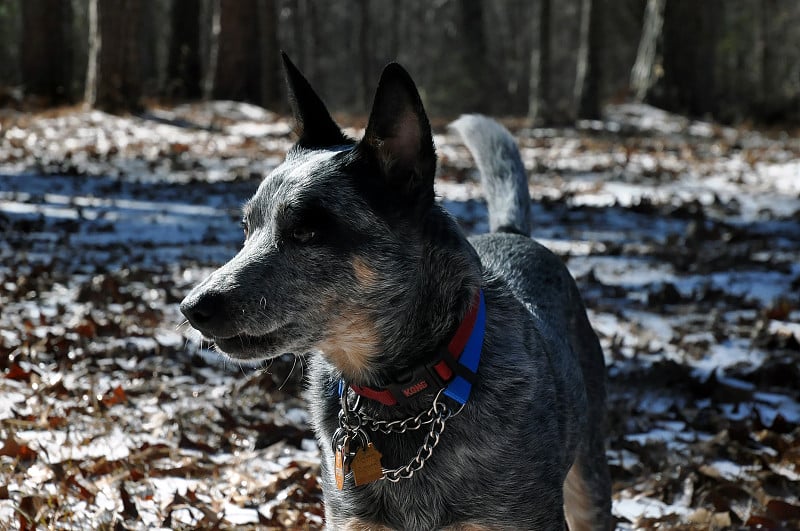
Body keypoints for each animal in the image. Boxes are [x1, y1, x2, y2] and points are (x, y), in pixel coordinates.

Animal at [178, 55, 608, 531]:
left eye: (306, 230)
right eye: (247, 227)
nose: (192, 307)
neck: (401, 393)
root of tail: (512, 232)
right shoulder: (350, 517)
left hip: (589, 478)